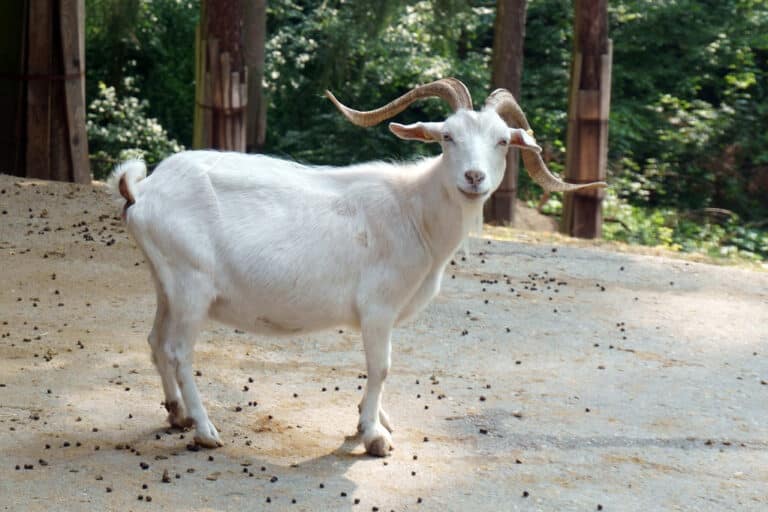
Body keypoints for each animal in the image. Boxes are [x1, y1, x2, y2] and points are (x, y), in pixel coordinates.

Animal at [110, 78, 604, 456]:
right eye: (447, 137)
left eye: (502, 141)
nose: (474, 178)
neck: (413, 212)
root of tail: (145, 189)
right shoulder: (378, 308)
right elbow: (381, 367)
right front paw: (374, 437)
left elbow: (381, 368)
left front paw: (379, 421)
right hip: (192, 286)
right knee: (179, 350)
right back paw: (206, 430)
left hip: (167, 283)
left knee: (156, 341)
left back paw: (176, 414)